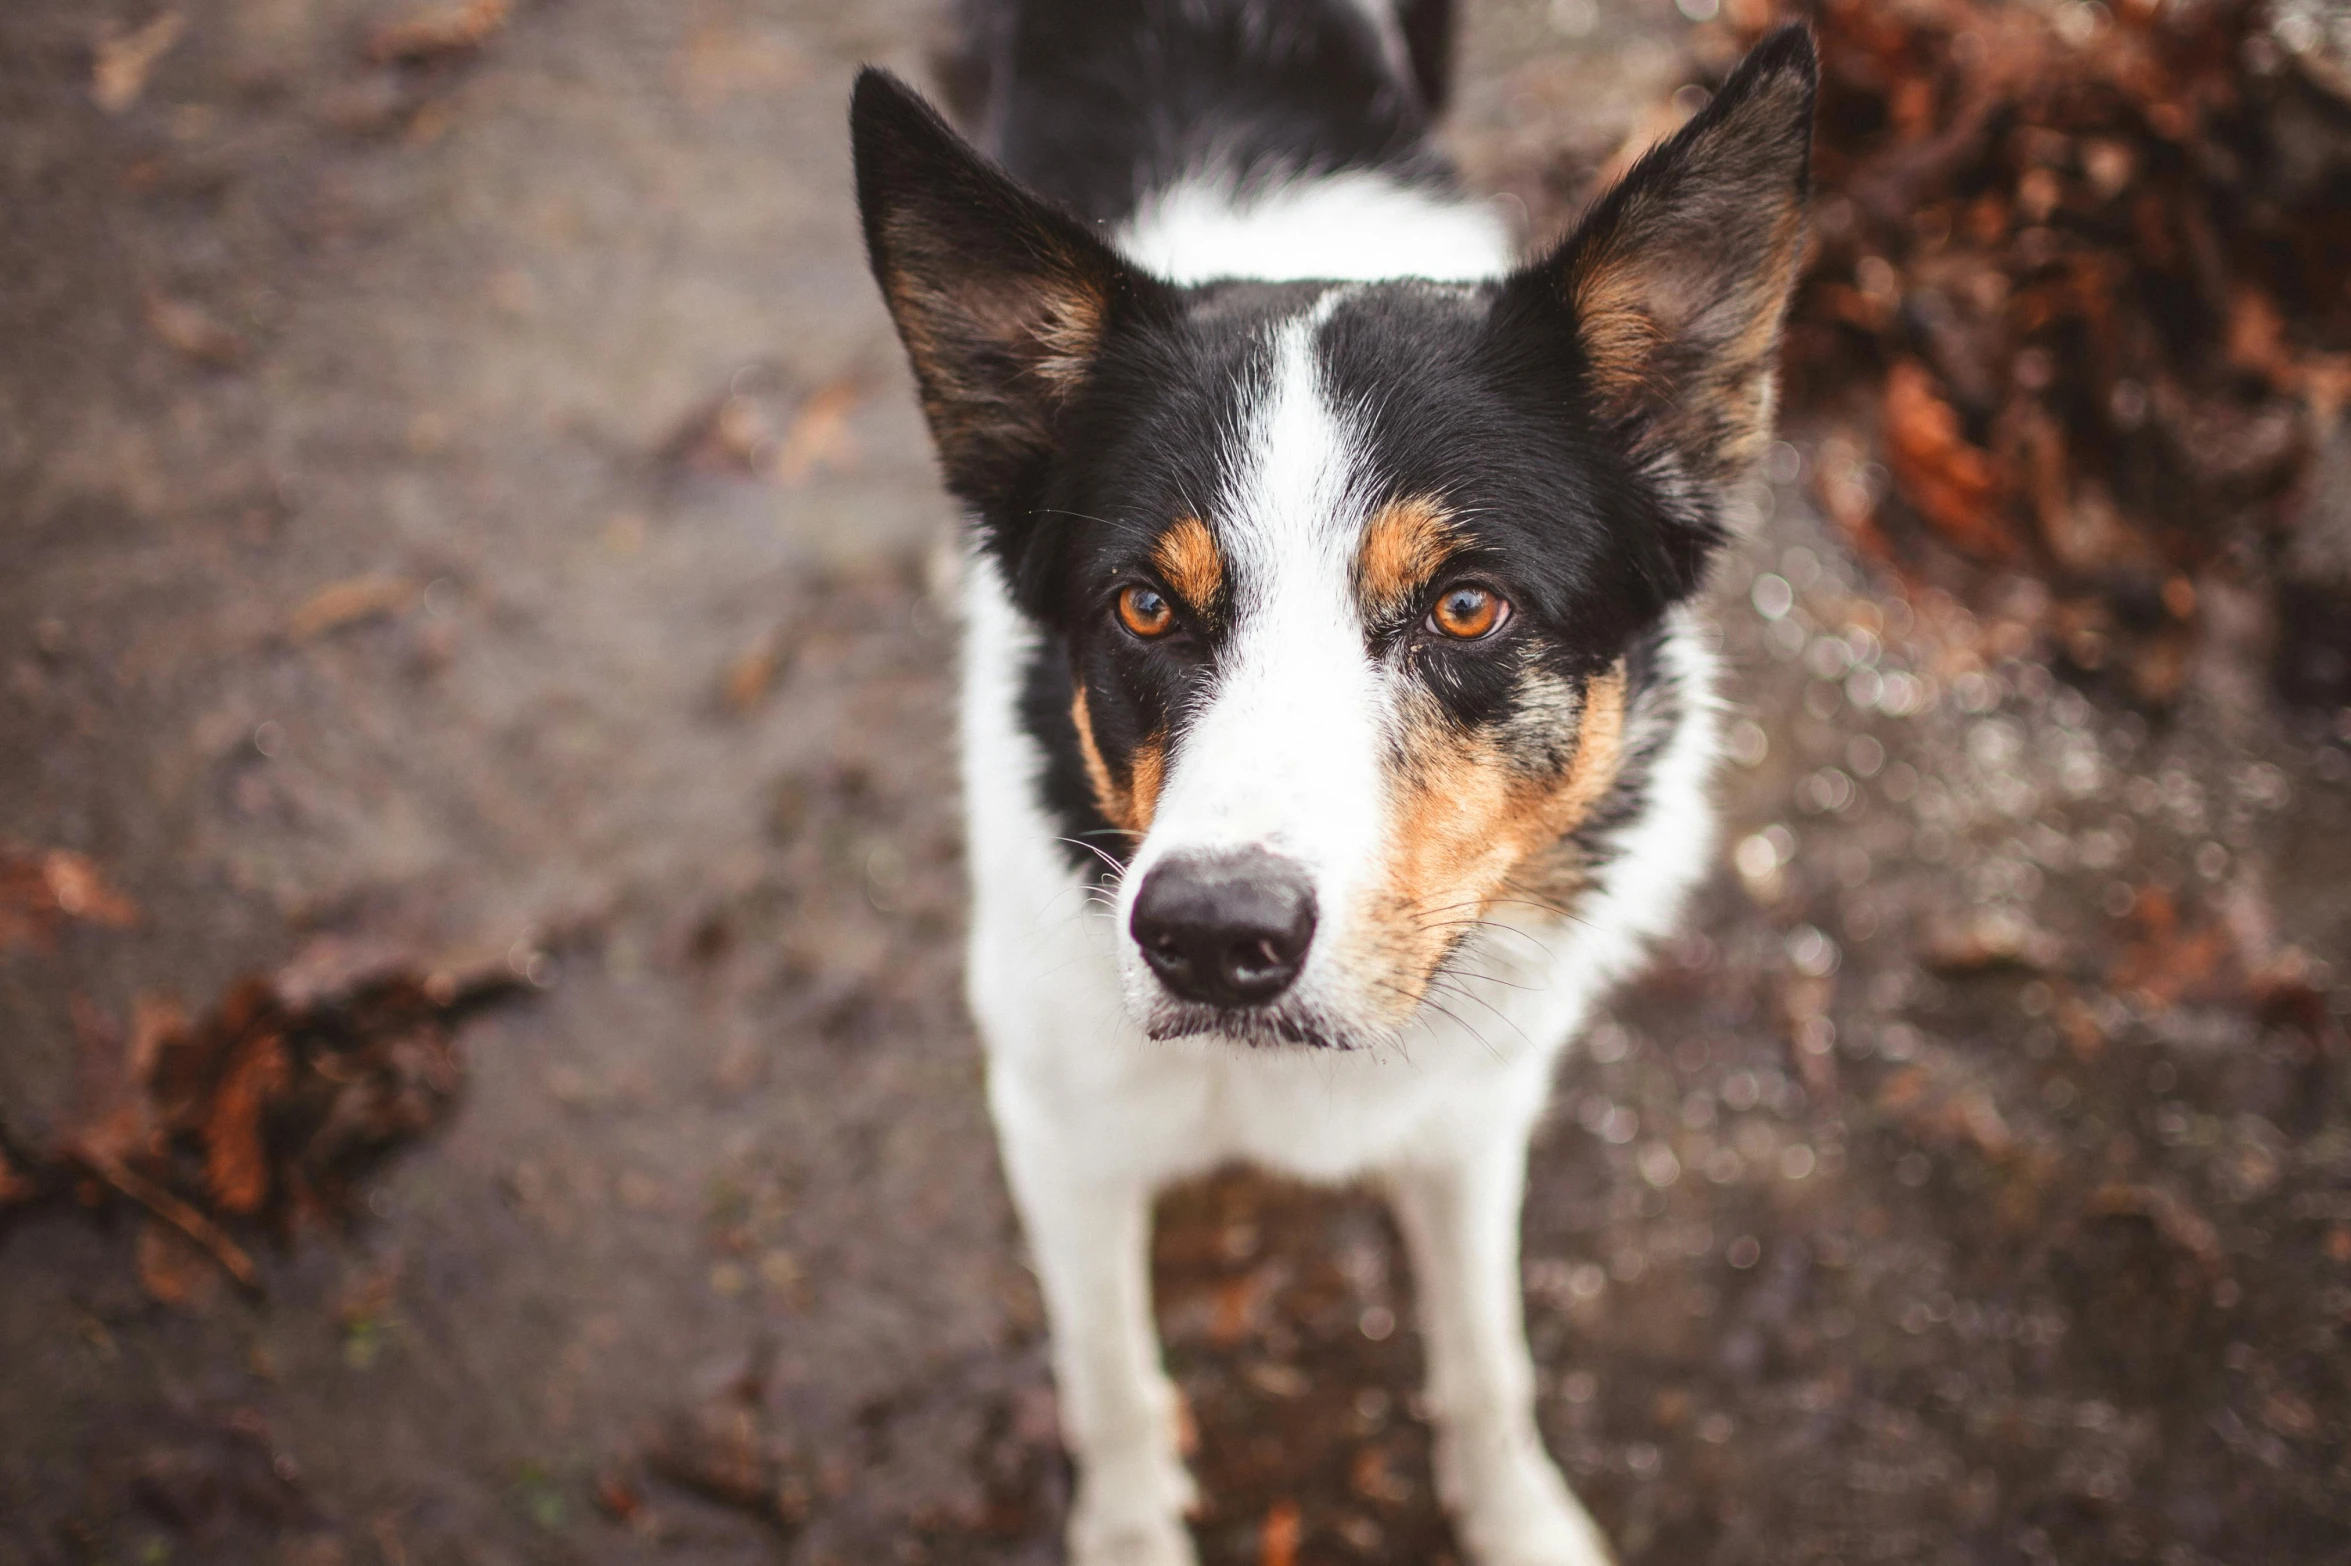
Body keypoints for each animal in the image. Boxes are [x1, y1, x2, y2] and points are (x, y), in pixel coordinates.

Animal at [851, 6, 1814, 1551]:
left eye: (1466, 607)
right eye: (1140, 607)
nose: (1210, 938)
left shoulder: (1471, 1112)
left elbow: (1485, 1352)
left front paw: (1516, 1517)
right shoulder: (1055, 1129)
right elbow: (1108, 1377)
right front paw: (1128, 1530)